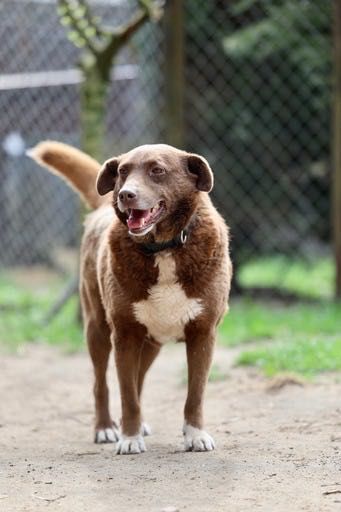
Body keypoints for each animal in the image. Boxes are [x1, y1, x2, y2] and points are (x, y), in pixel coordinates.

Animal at [29, 142, 231, 454]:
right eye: (123, 171)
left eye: (157, 170)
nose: (125, 194)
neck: (163, 247)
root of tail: (101, 207)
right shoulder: (124, 335)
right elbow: (127, 395)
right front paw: (130, 438)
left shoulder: (203, 333)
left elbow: (194, 393)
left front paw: (195, 435)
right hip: (98, 329)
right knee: (102, 384)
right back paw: (105, 428)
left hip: (151, 342)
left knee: (140, 379)